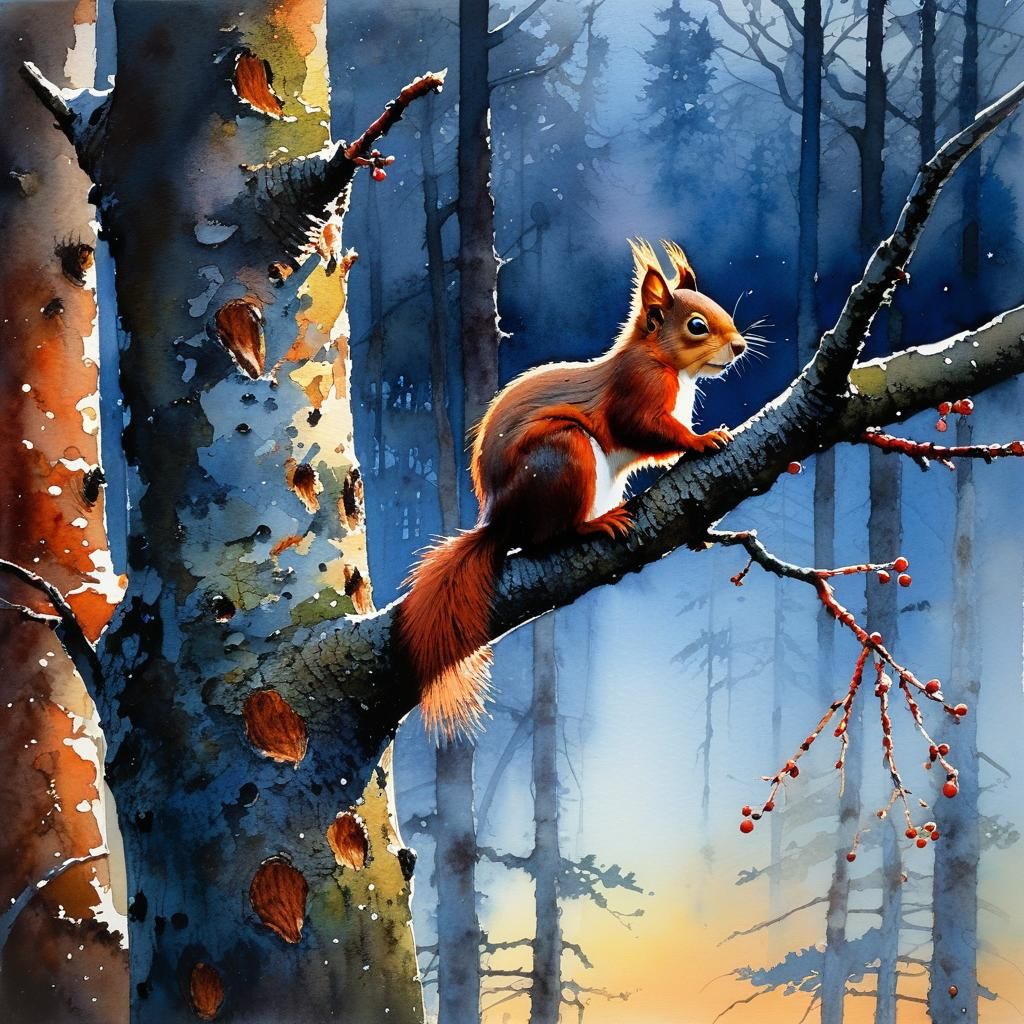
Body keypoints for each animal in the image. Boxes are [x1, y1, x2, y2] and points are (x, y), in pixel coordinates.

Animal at [396, 239, 748, 738]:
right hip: (566, 454)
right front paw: (700, 440)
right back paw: (596, 525)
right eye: (696, 326)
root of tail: (501, 522)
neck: (665, 363)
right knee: (549, 537)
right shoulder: (635, 393)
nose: (739, 346)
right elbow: (644, 430)